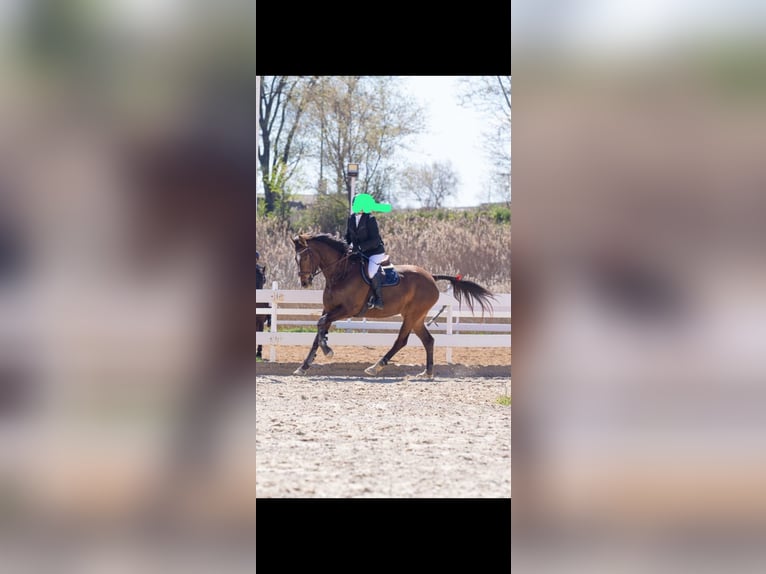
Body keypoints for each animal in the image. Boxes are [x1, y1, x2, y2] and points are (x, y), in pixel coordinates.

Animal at [292, 233, 496, 379]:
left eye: (306, 257)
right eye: (296, 259)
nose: (304, 282)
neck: (341, 273)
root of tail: (430, 276)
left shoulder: (348, 310)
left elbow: (320, 324)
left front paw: (328, 350)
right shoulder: (329, 309)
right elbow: (318, 332)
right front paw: (304, 366)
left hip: (412, 315)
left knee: (401, 341)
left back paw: (376, 367)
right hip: (416, 317)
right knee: (428, 340)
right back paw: (427, 373)